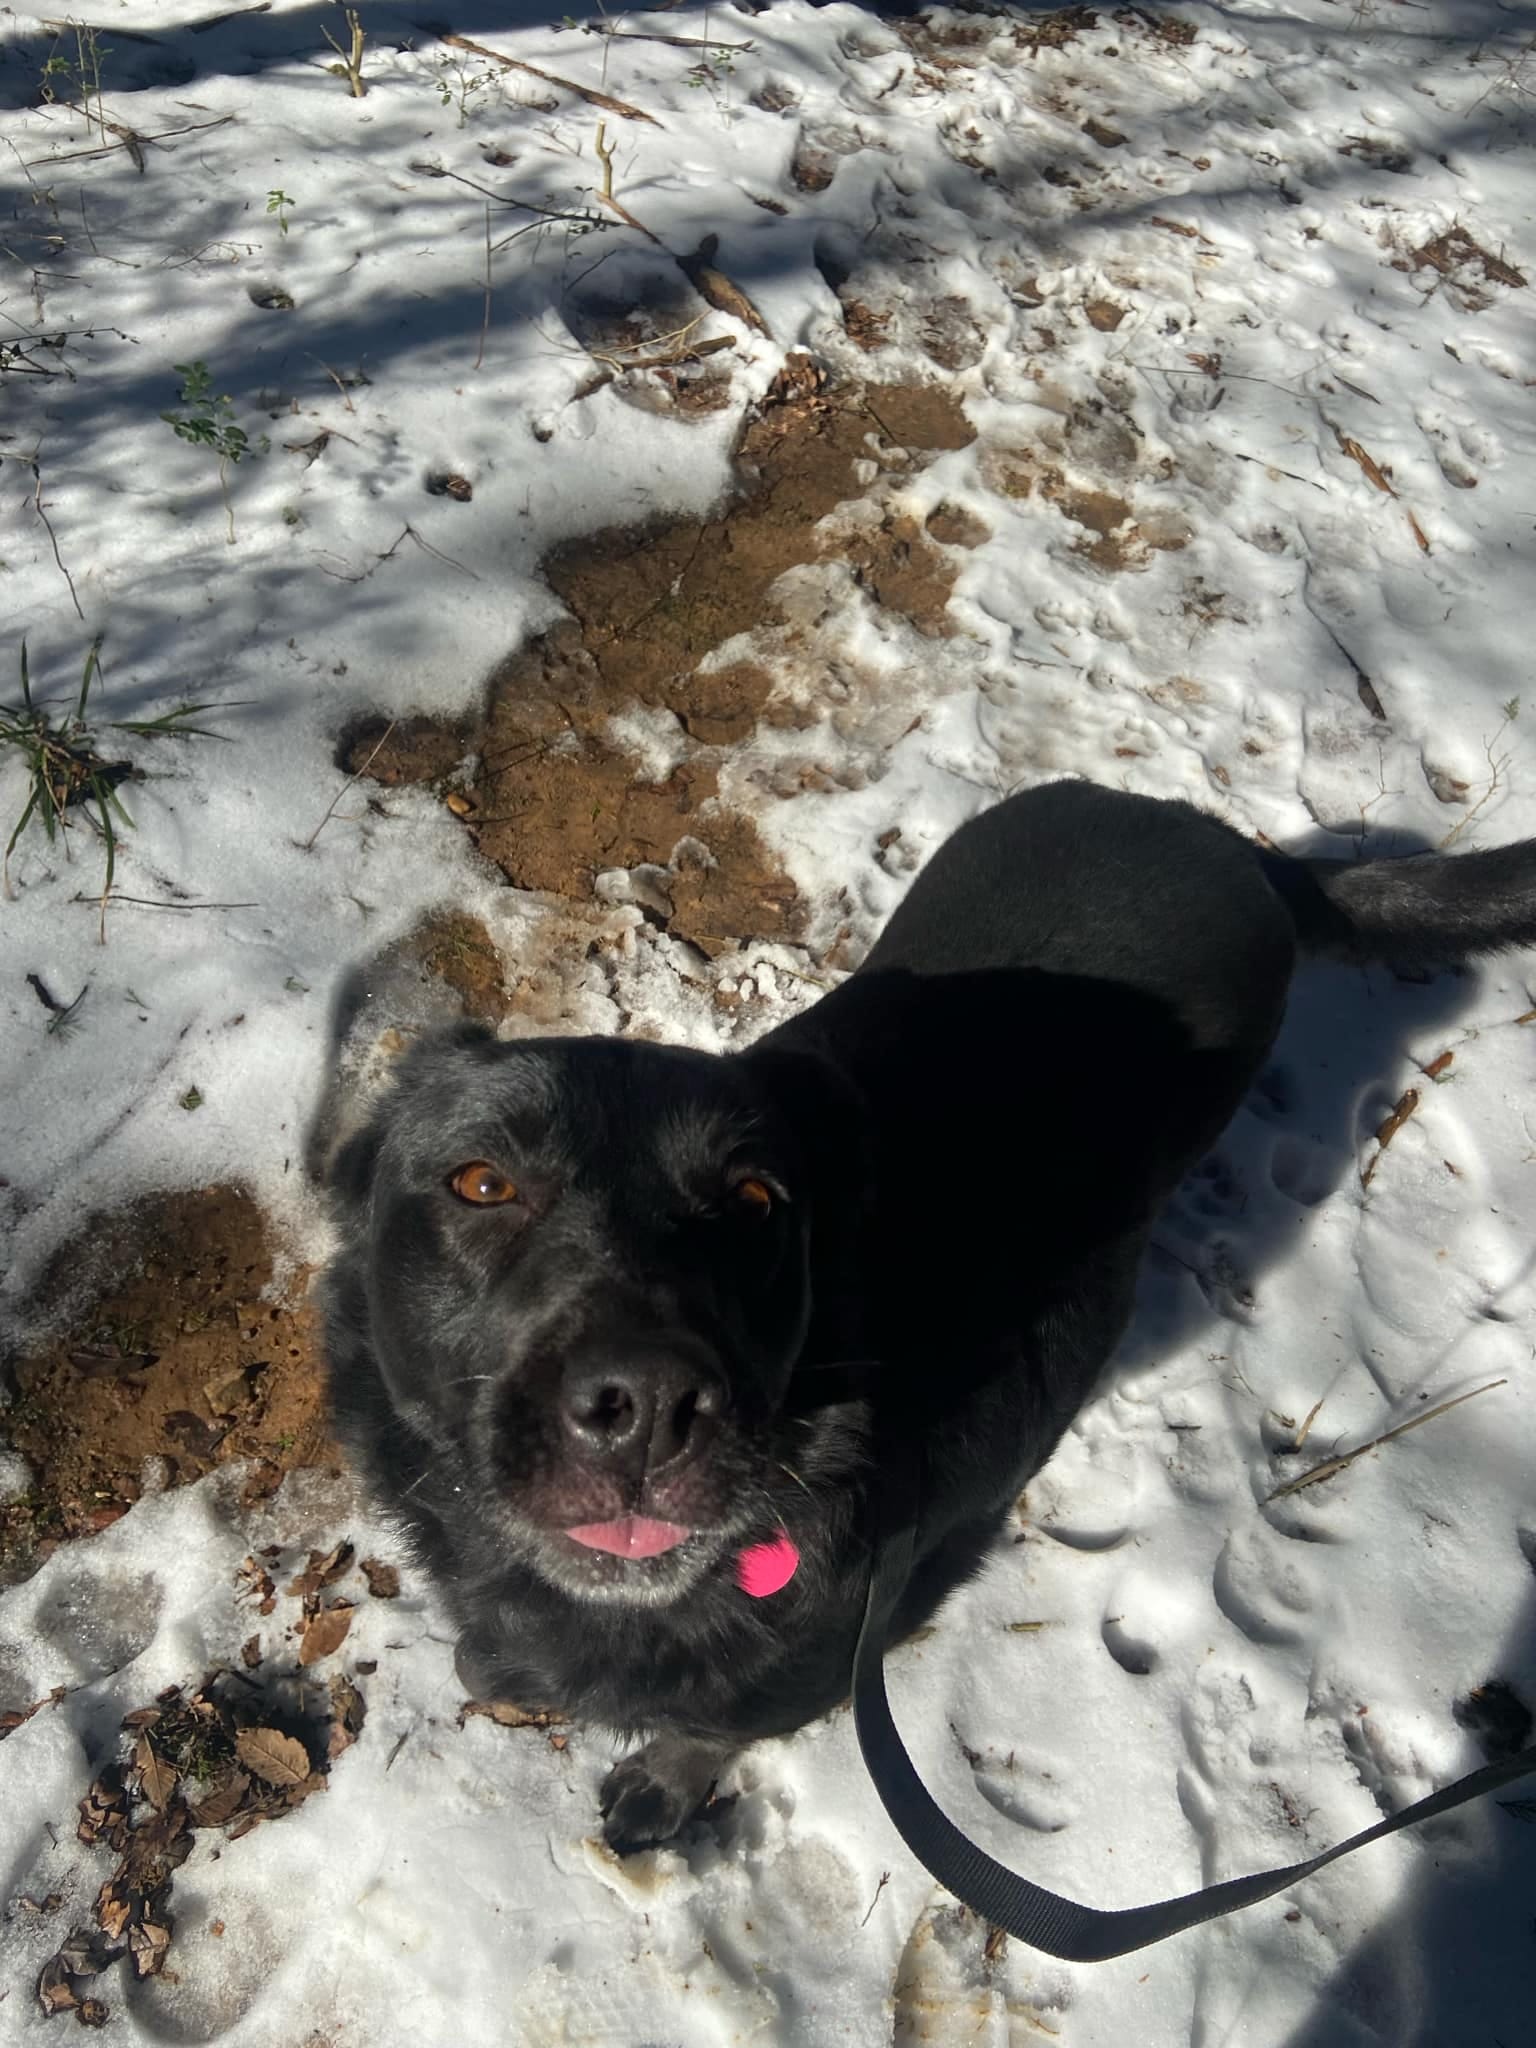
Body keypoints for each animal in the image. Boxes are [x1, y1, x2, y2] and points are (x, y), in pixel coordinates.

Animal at [315, 774, 1536, 1851]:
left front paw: (667, 1781)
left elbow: (712, 1727)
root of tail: (1230, 841)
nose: (650, 1408)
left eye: (756, 1201)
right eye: (481, 1183)